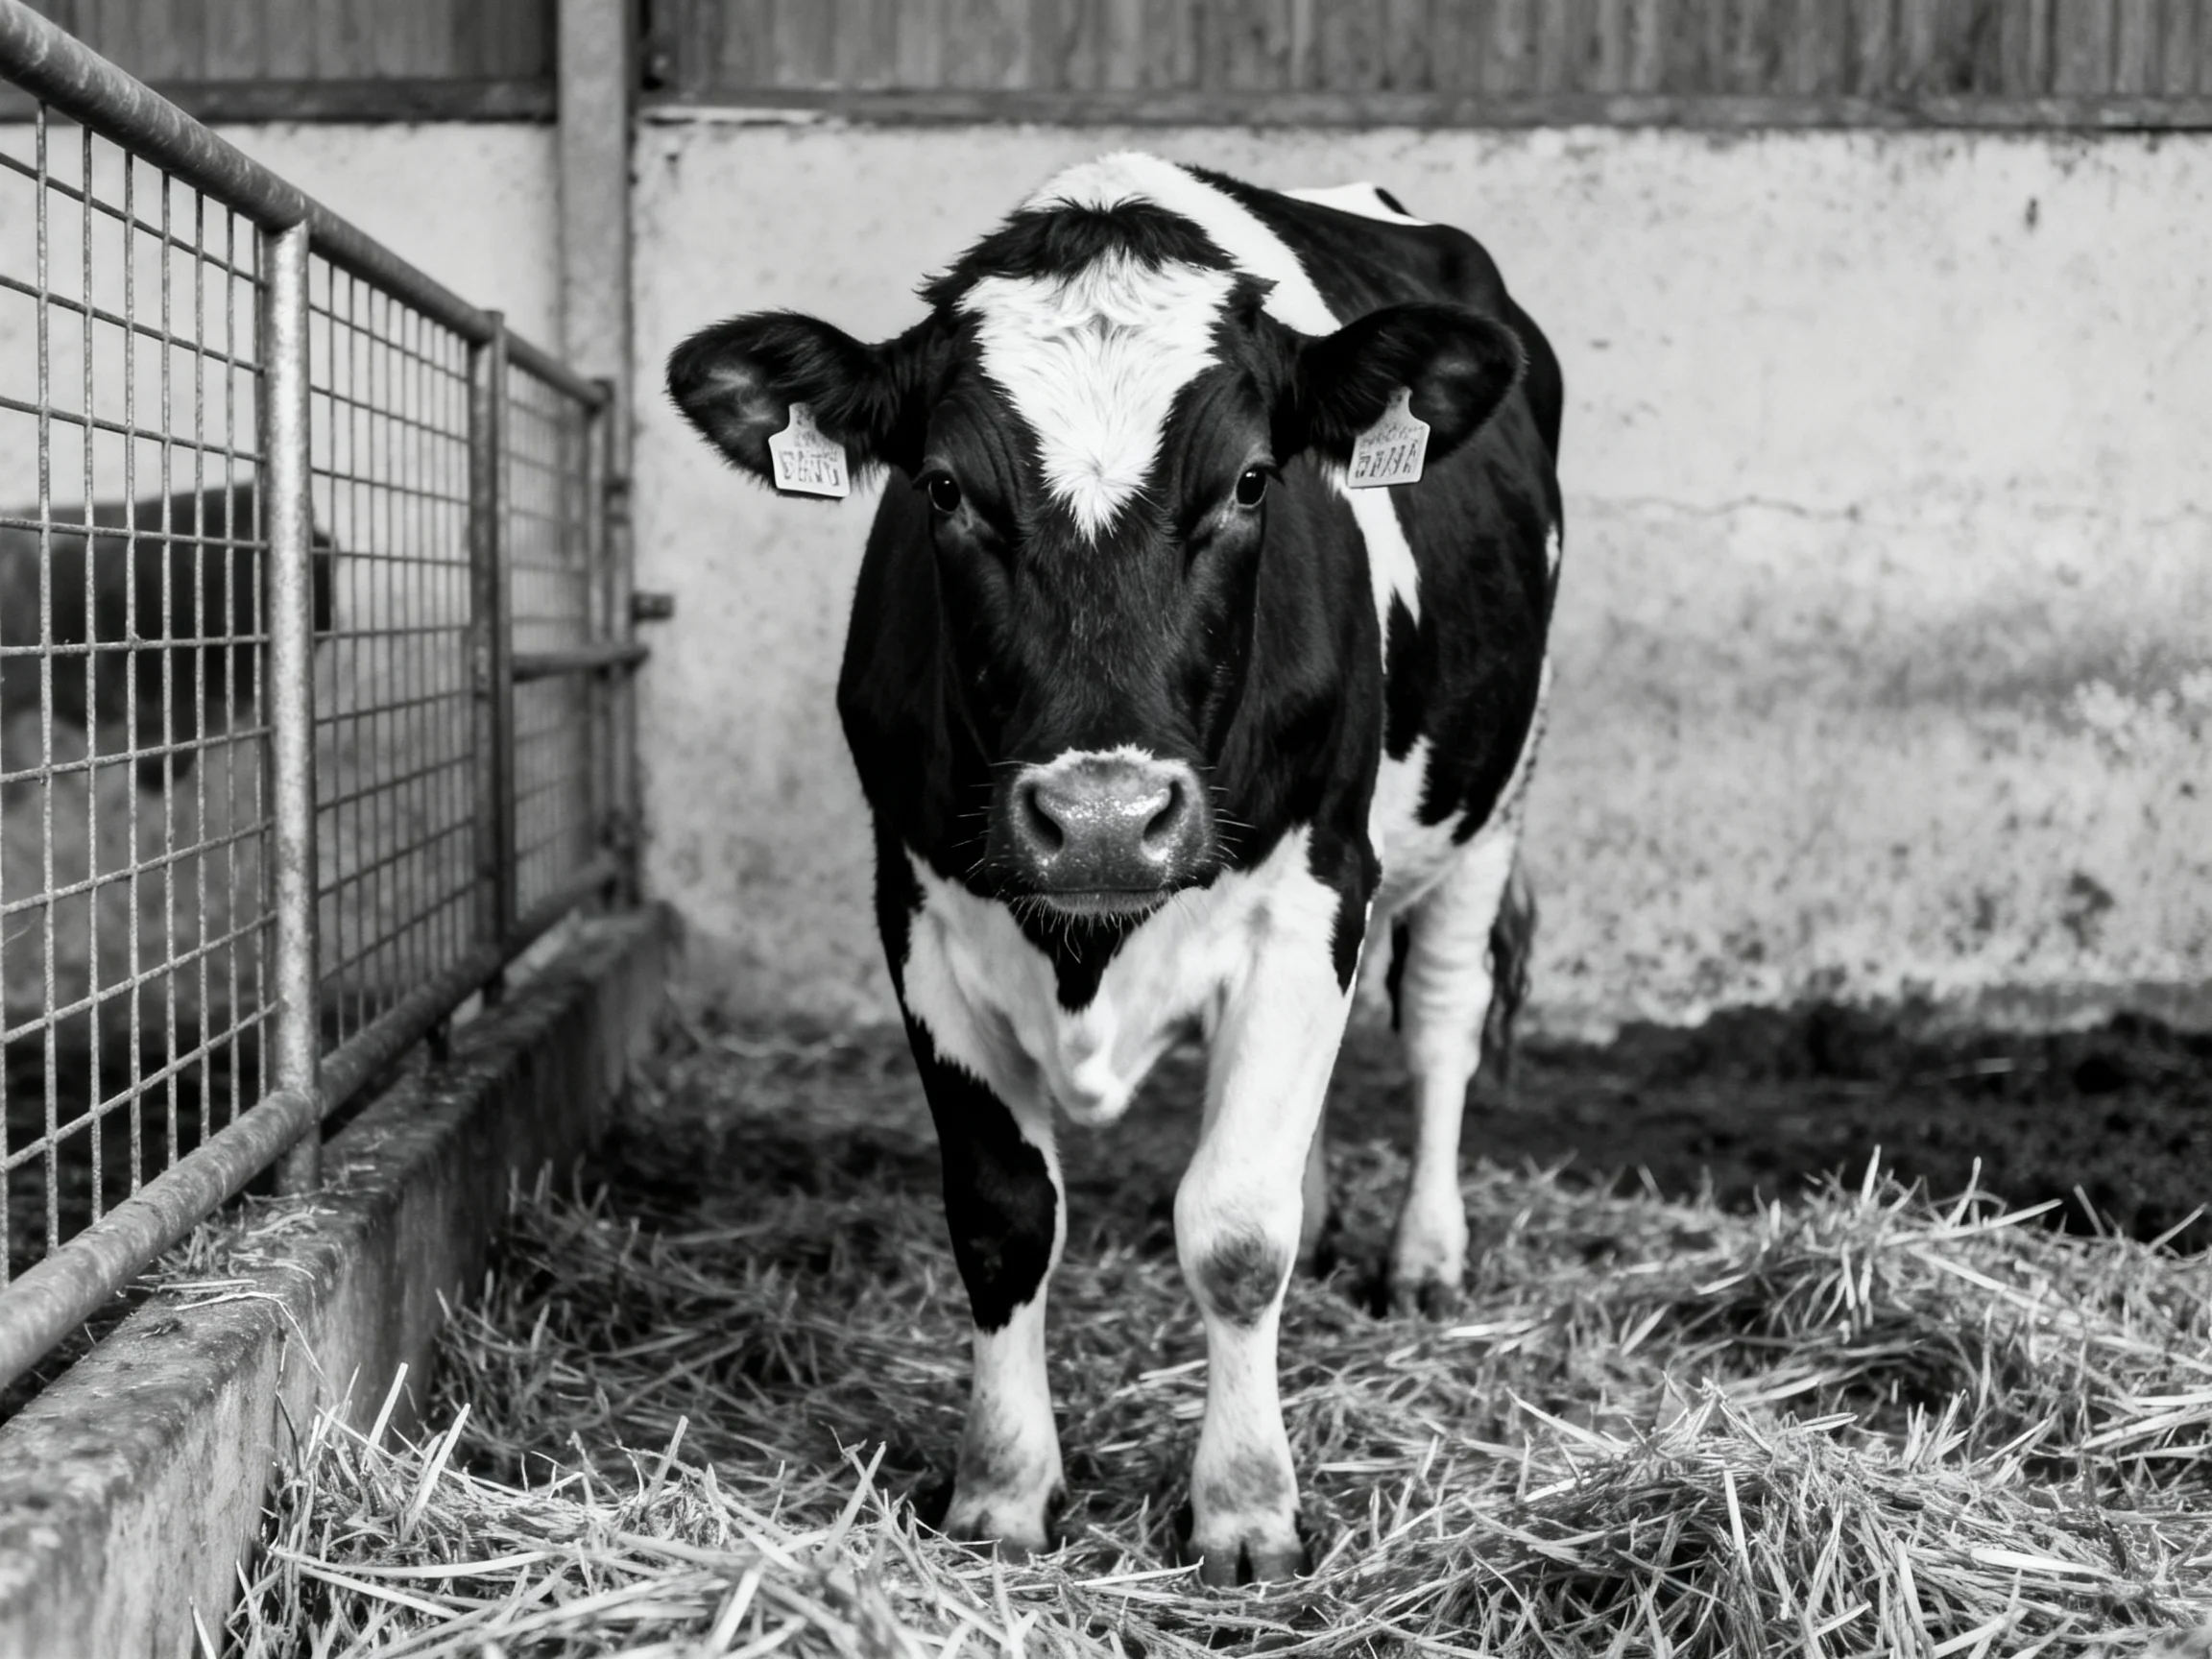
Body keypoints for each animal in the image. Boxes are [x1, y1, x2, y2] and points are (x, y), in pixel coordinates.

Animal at [668, 153, 1560, 1585]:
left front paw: (1247, 1508)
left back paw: (1424, 1257)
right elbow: (1002, 1219)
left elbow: (1238, 1230)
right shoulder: (915, 908)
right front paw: (1001, 1490)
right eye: (942, 489)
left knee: (1439, 1024)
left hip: (1495, 798)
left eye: (1252, 483)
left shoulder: (1318, 888)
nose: (1099, 818)